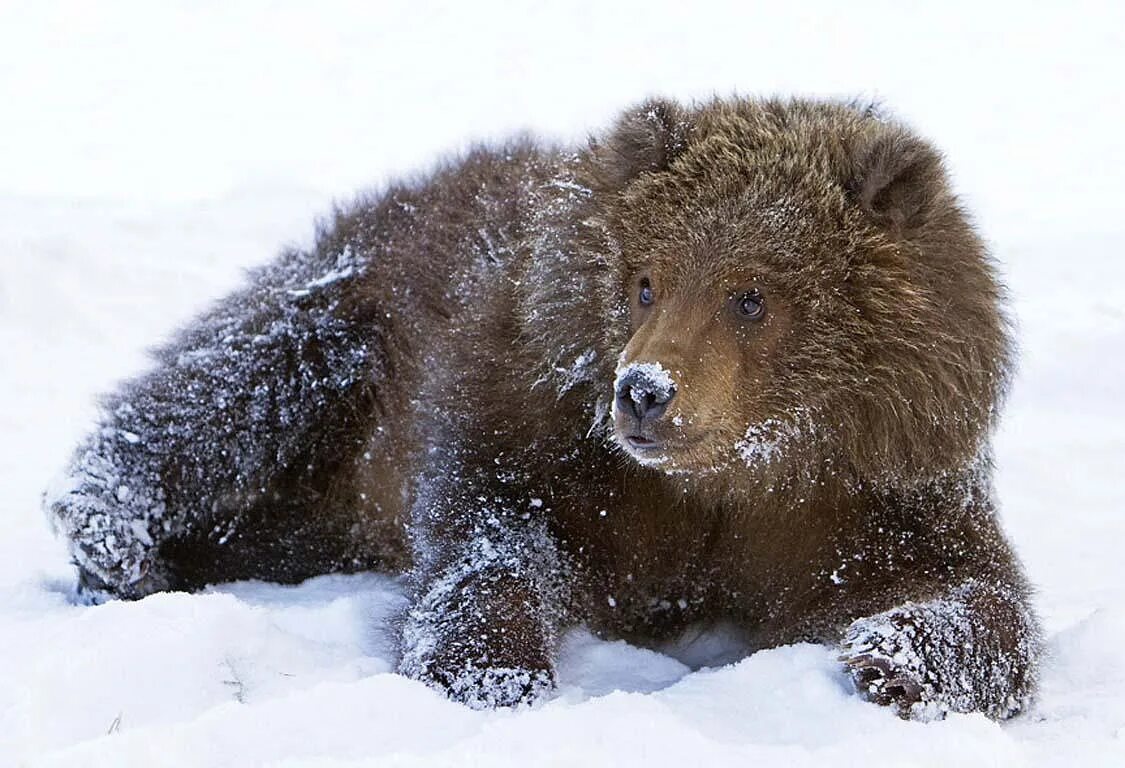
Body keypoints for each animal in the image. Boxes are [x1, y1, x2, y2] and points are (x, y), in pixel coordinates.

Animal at [48, 96, 1039, 719]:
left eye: (752, 296)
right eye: (645, 281)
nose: (644, 392)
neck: (727, 479)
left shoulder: (858, 495)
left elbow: (971, 586)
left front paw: (898, 660)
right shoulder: (541, 425)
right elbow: (493, 534)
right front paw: (490, 669)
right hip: (355, 322)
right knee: (231, 385)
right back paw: (110, 530)